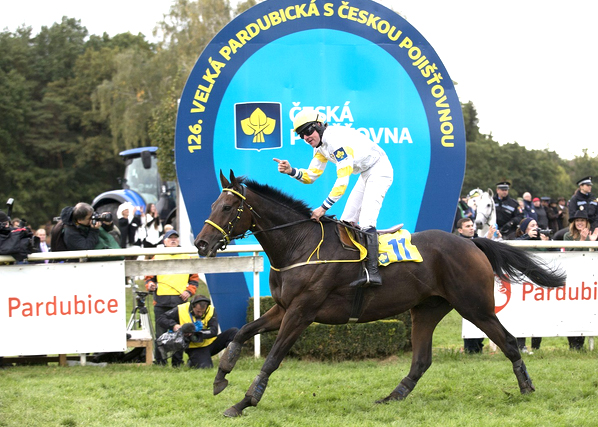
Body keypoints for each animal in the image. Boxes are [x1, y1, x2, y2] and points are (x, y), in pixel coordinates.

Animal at [196, 171, 568, 418]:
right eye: (213, 203)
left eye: (227, 207)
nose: (201, 243)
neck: (299, 245)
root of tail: (471, 242)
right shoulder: (283, 308)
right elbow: (242, 331)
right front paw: (221, 376)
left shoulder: (302, 312)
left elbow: (272, 358)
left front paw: (244, 402)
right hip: (427, 309)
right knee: (421, 360)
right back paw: (393, 397)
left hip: (475, 306)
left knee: (508, 342)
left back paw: (526, 388)